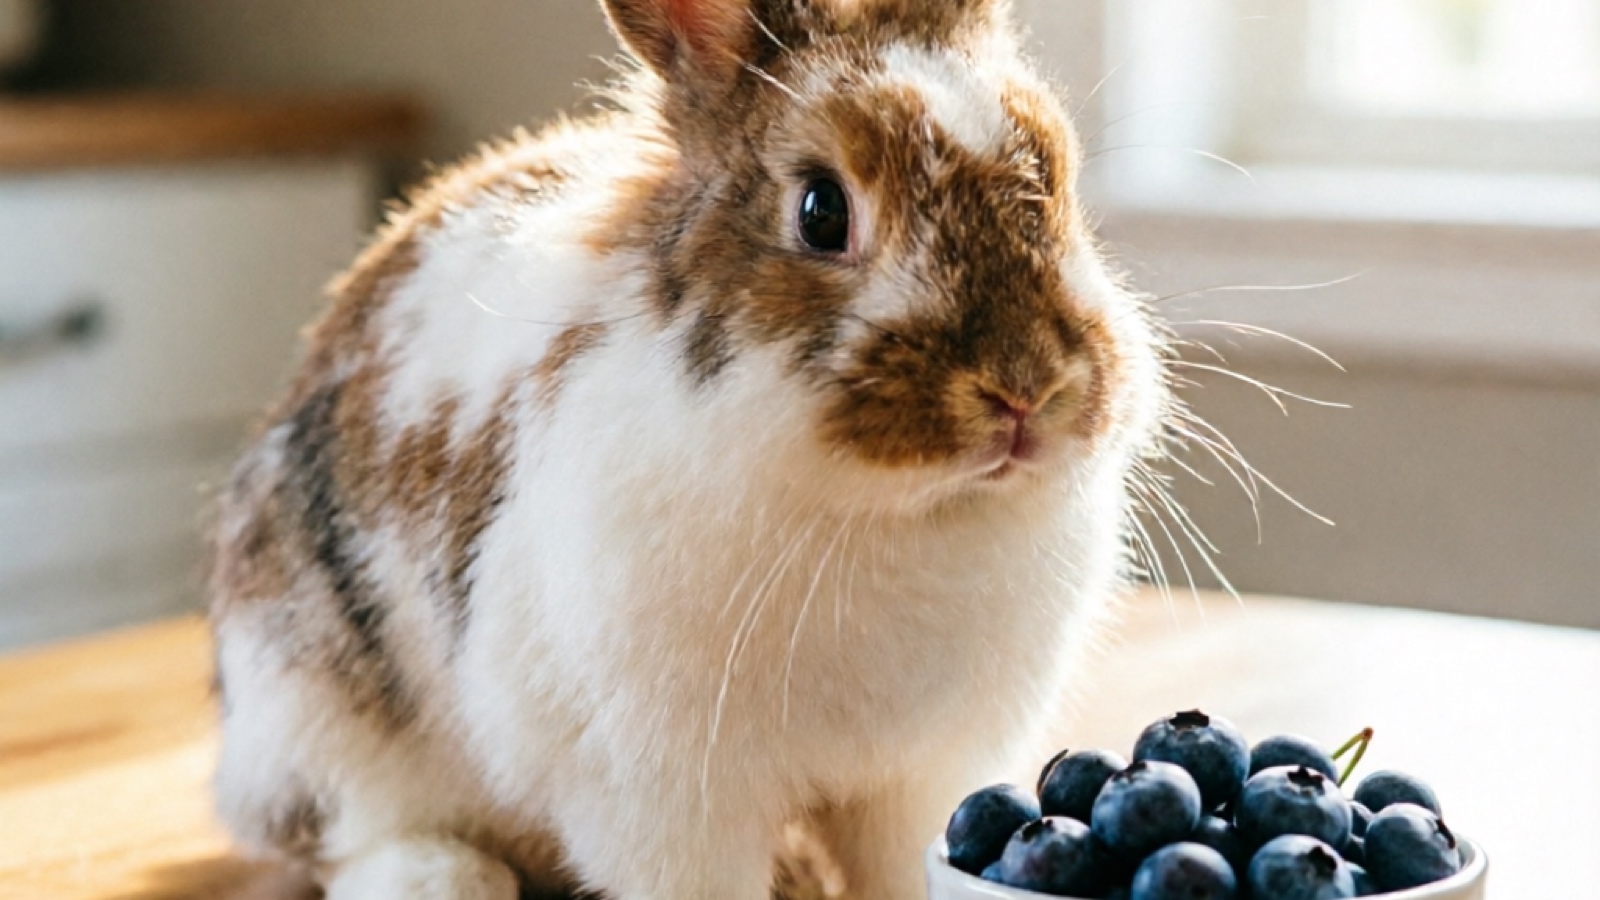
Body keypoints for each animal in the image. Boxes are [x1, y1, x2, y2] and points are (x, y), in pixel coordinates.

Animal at [206, 0, 1172, 898]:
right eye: (822, 211)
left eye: (1059, 175)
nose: (1025, 388)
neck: (887, 512)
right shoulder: (667, 799)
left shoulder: (919, 782)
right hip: (315, 707)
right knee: (345, 832)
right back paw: (441, 876)